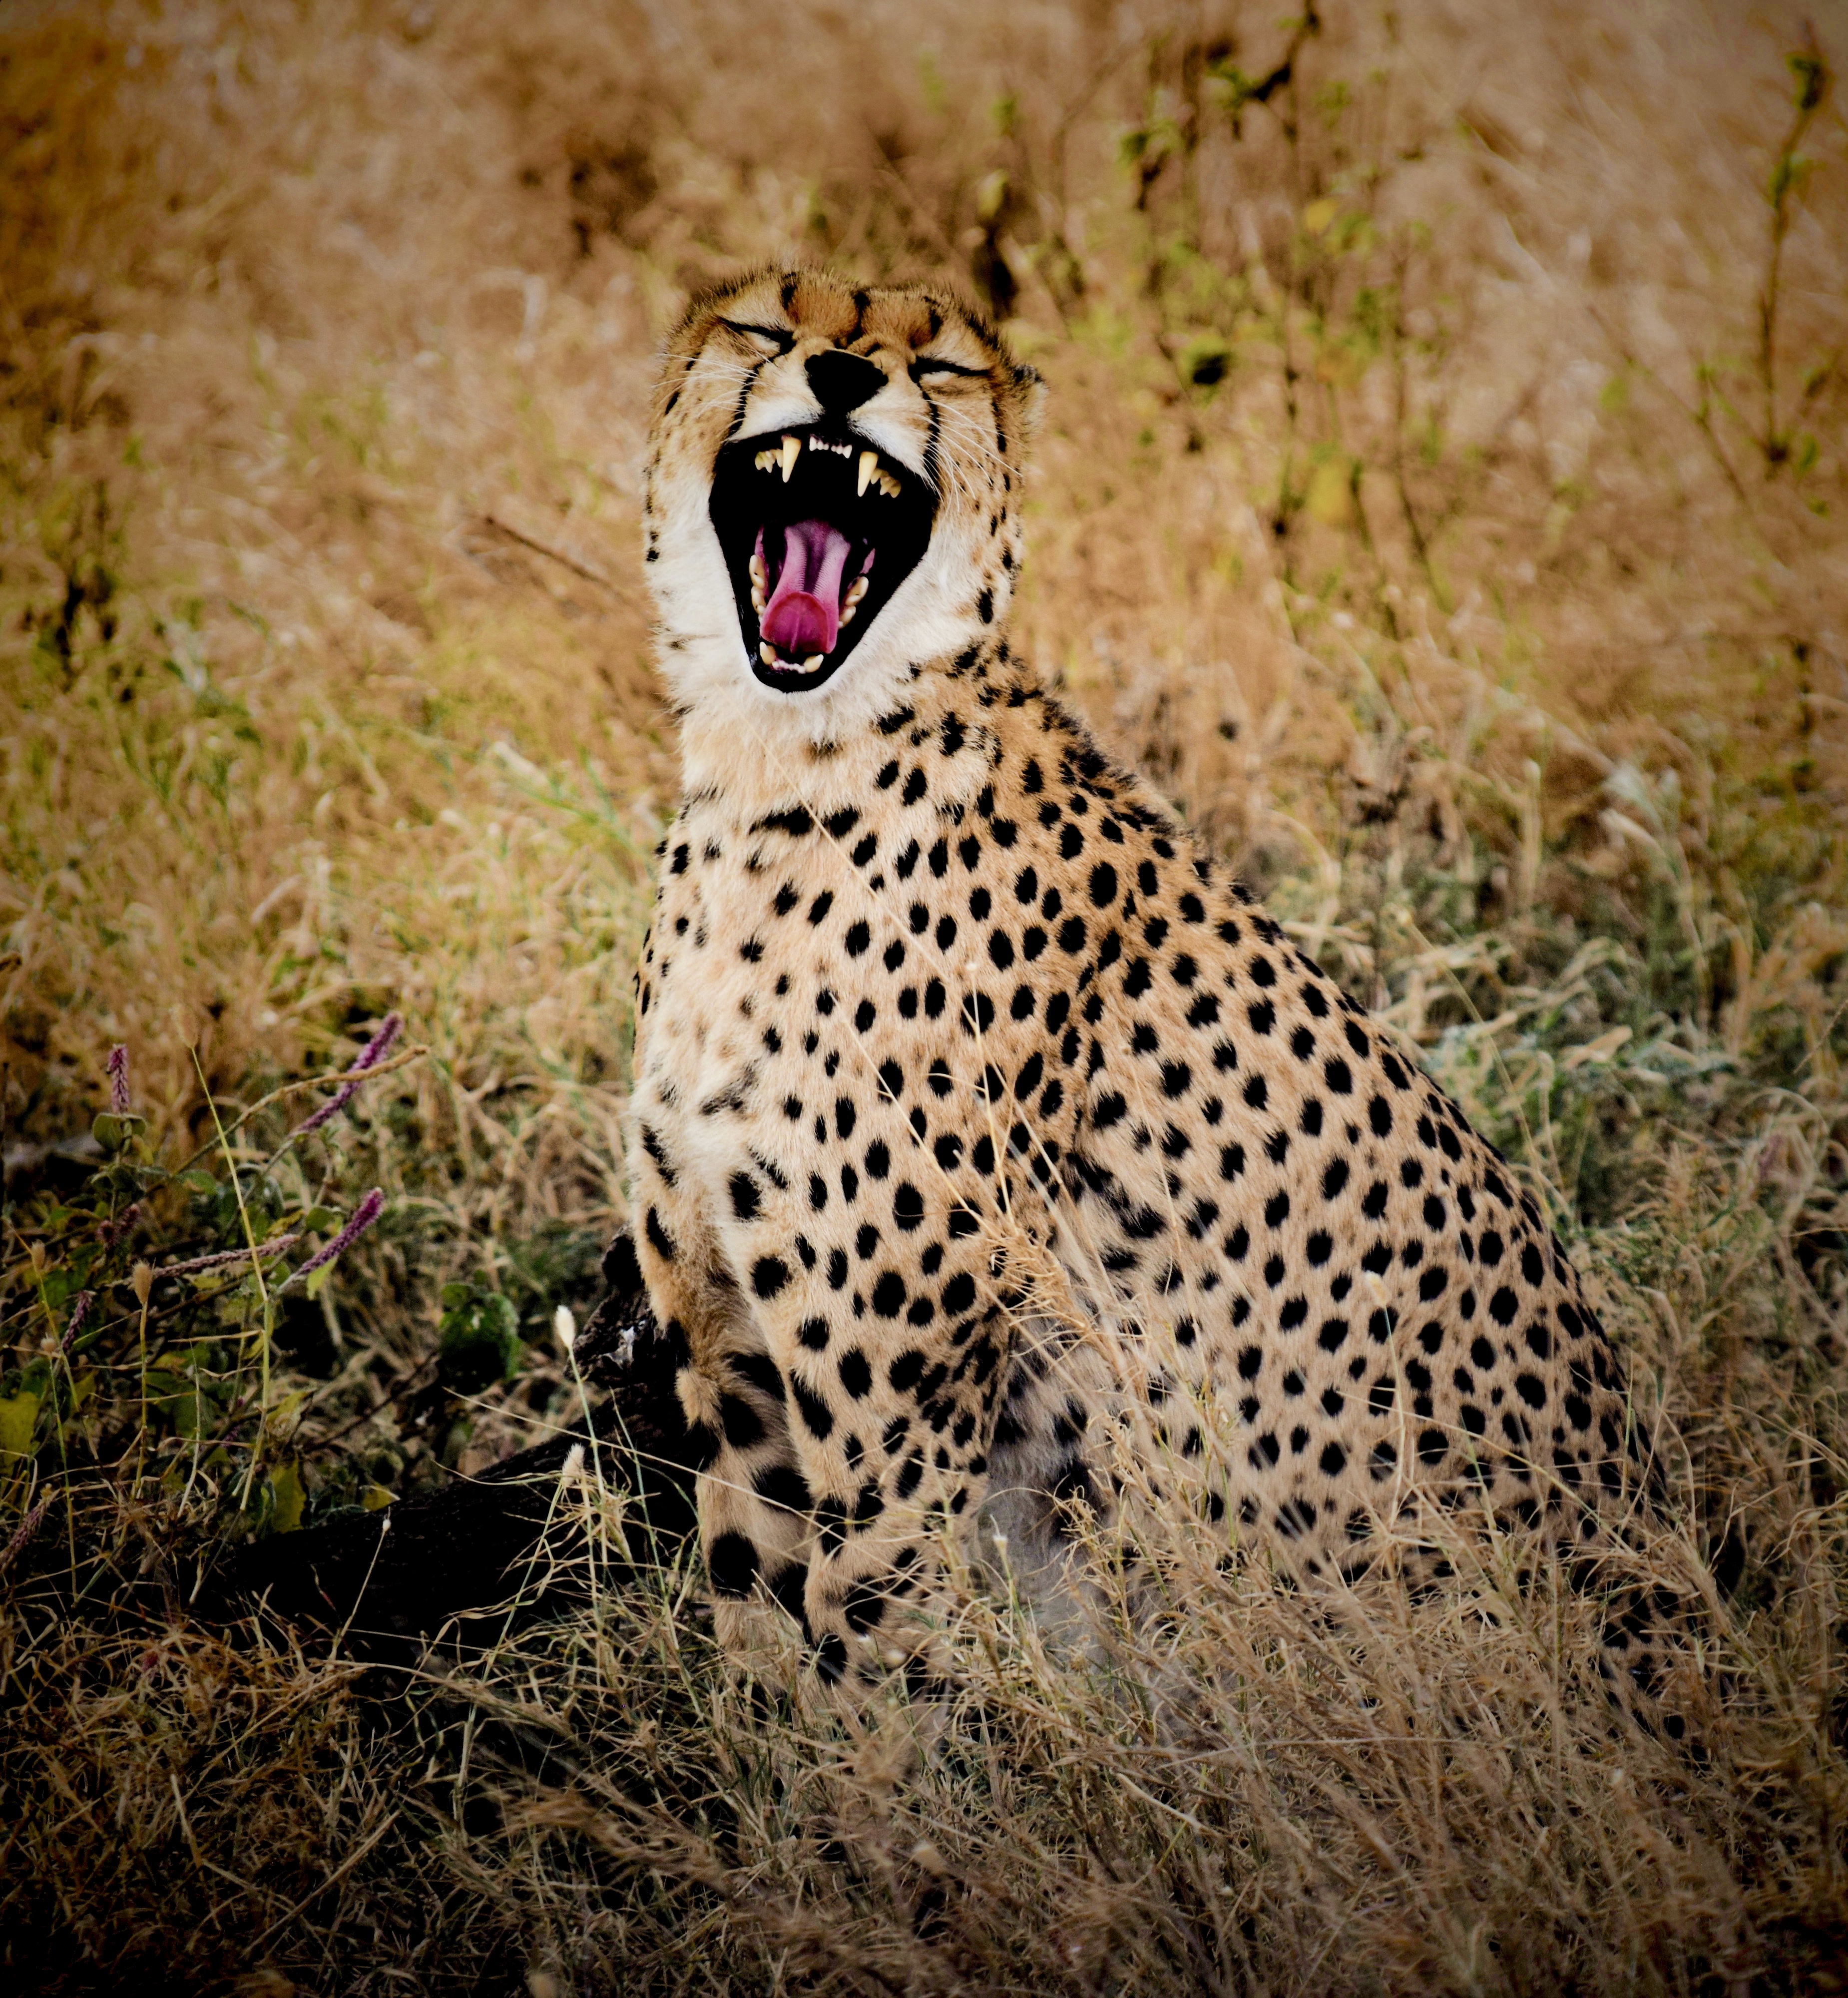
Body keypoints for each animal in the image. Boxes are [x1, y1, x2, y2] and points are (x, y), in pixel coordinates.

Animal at [627, 262, 1694, 1734]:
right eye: (764, 326)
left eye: (937, 363)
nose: (841, 377)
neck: (778, 767)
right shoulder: (734, 1368)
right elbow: (754, 1640)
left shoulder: (899, 1429)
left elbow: (871, 1660)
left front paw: (873, 1790)